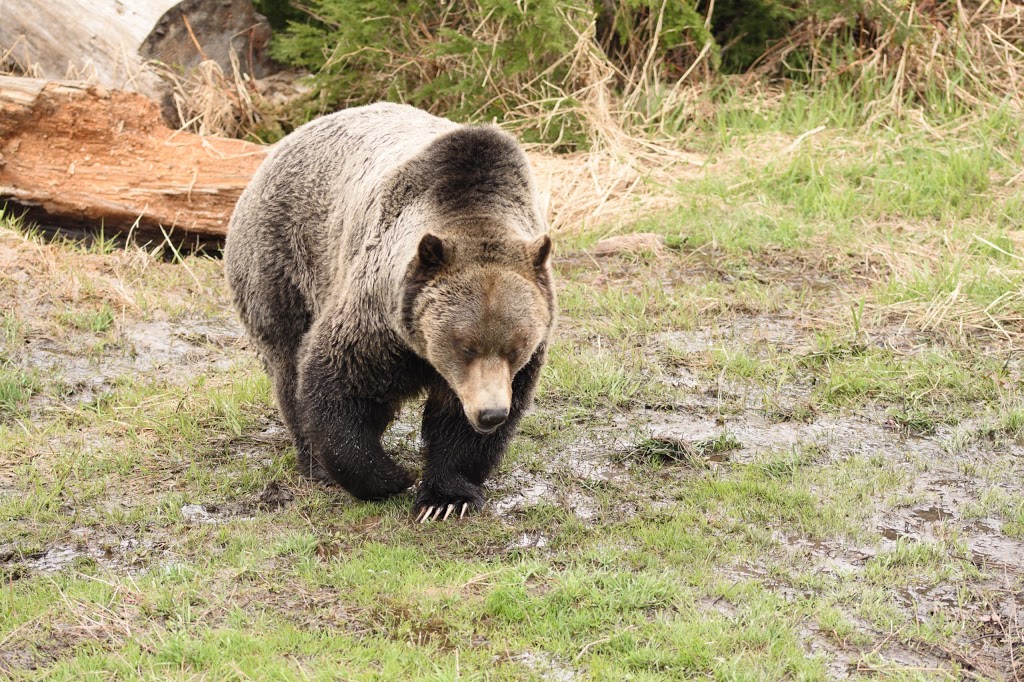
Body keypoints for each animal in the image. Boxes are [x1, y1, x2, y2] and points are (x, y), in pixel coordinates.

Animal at [224, 102, 557, 520]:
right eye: (465, 345)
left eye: (516, 347)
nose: (490, 413)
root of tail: (283, 143)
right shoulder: (380, 315)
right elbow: (340, 384)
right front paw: (390, 477)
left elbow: (459, 427)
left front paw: (446, 499)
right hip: (282, 260)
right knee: (287, 360)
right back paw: (315, 462)